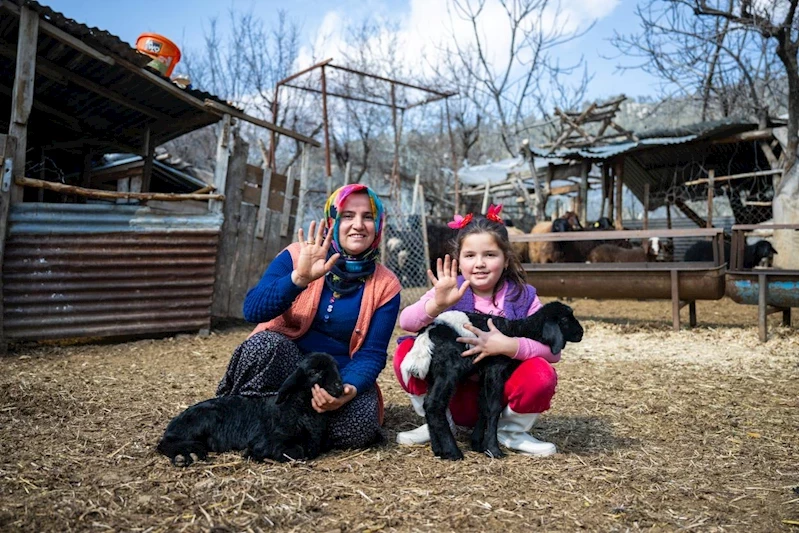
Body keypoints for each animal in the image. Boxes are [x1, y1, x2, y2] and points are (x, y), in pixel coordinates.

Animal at [157, 354, 344, 466]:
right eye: (314, 372)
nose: (339, 387)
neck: (299, 409)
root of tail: (175, 422)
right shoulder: (268, 439)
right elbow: (297, 451)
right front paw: (253, 453)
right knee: (164, 444)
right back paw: (186, 455)